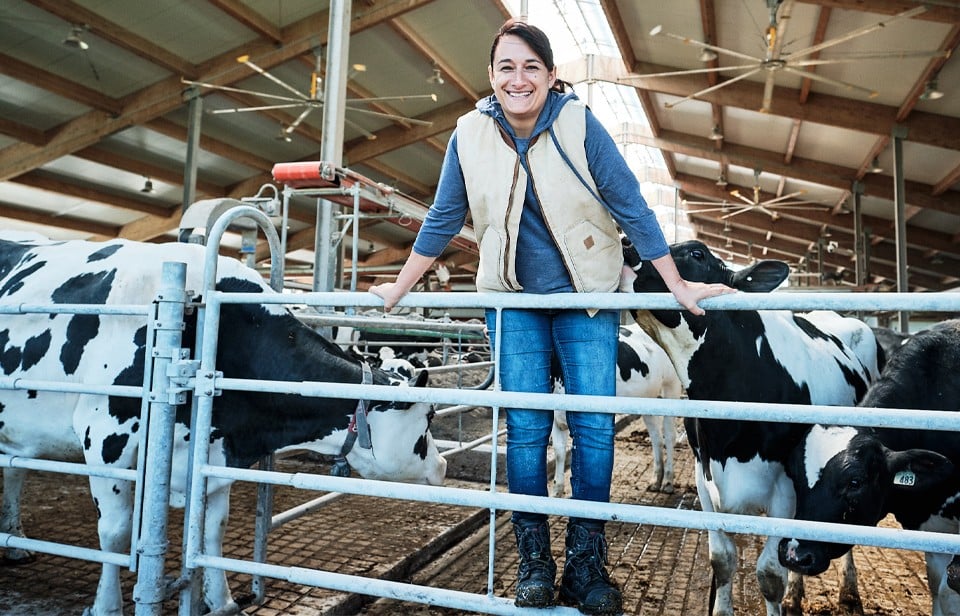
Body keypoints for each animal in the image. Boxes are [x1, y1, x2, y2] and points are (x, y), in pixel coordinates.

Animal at [0, 236, 446, 616]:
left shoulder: (214, 449)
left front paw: (223, 600)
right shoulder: (105, 436)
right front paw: (106, 606)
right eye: (428, 417)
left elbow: (212, 532)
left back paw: (14, 541)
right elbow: (114, 533)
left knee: (14, 472)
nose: (442, 466)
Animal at [548, 324, 684, 498]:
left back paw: (667, 481)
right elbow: (559, 452)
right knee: (656, 437)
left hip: (671, 386)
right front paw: (556, 493)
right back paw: (655, 481)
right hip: (647, 397)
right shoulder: (555, 415)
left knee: (669, 435)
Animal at [620, 239, 880, 616]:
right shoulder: (704, 478)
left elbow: (770, 575)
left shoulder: (786, 489)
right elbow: (722, 561)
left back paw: (848, 592)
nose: (626, 243)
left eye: (697, 254)